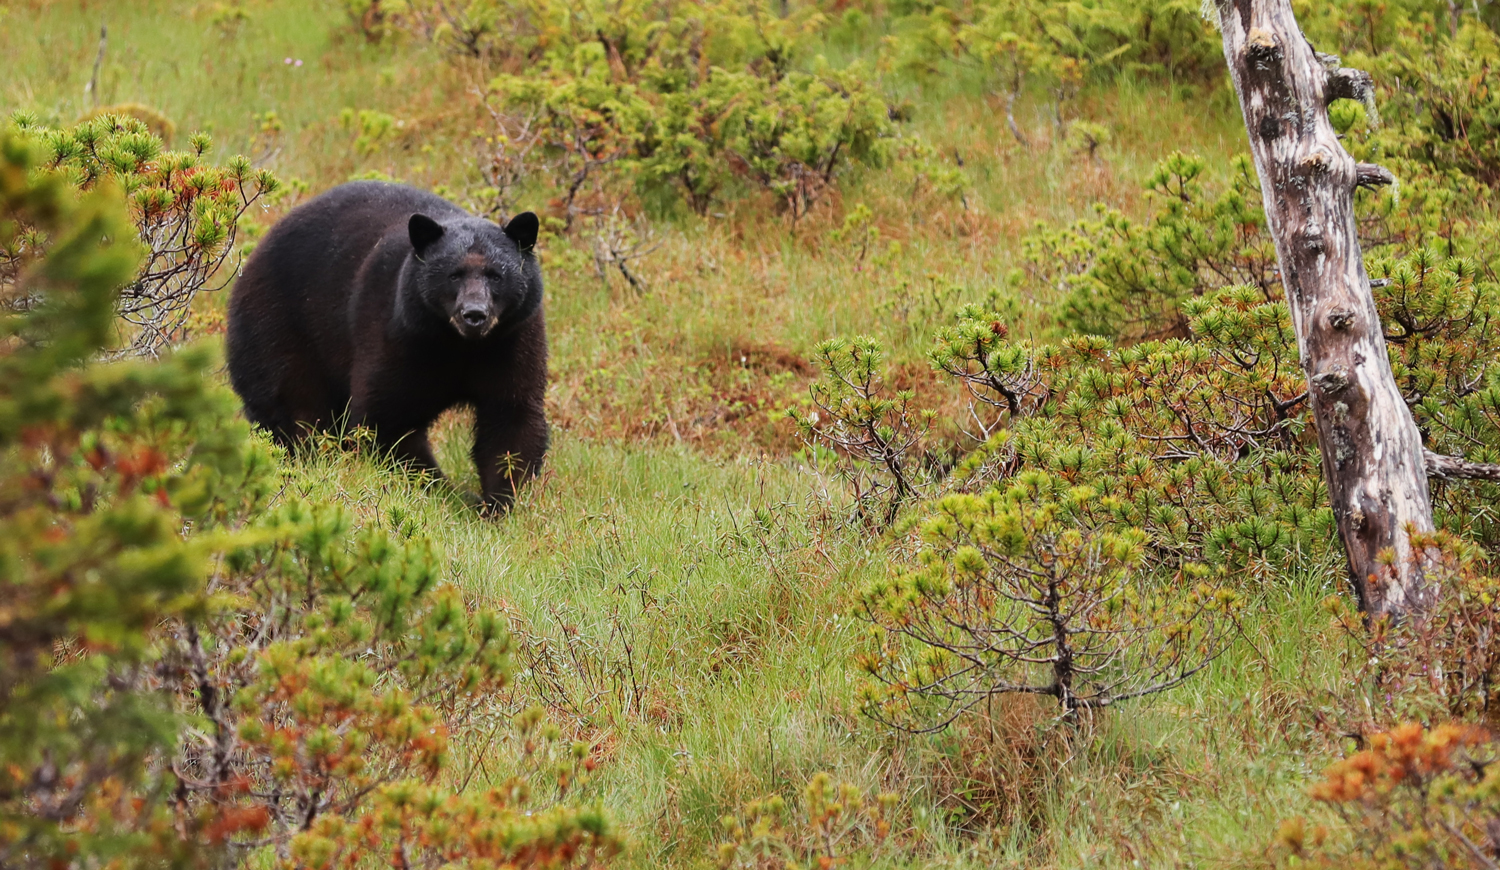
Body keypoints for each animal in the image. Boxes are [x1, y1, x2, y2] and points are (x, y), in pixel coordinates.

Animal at [223, 180, 546, 513]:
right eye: (453, 274)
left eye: (496, 275)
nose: (474, 314)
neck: (459, 345)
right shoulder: (401, 335)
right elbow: (388, 418)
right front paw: (445, 492)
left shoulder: (511, 341)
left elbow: (510, 417)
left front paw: (500, 502)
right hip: (277, 327)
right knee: (293, 405)